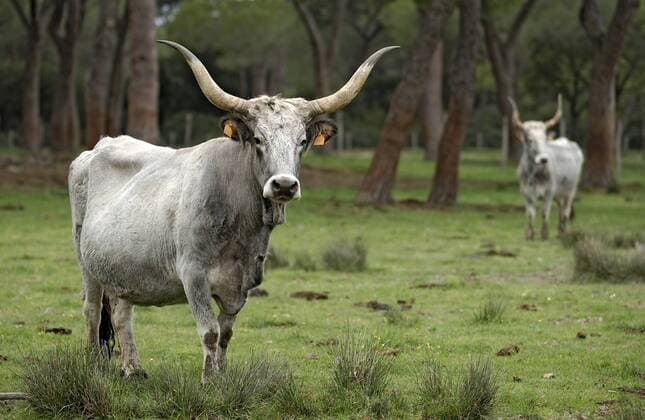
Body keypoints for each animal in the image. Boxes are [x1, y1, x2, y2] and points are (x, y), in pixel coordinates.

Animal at [68, 40, 397, 382]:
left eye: (303, 140)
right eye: (258, 139)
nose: (284, 185)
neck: (239, 223)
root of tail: (101, 145)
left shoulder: (242, 284)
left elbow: (225, 333)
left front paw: (222, 377)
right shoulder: (193, 275)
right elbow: (209, 331)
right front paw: (208, 380)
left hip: (121, 269)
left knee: (122, 313)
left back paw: (132, 369)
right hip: (85, 261)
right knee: (91, 310)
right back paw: (93, 365)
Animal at [509, 95, 584, 240]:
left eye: (544, 139)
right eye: (529, 139)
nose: (543, 159)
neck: (534, 173)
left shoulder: (549, 191)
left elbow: (544, 212)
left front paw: (544, 234)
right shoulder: (525, 192)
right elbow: (530, 214)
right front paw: (529, 234)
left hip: (571, 190)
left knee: (566, 211)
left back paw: (563, 232)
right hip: (558, 193)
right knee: (560, 208)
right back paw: (559, 231)